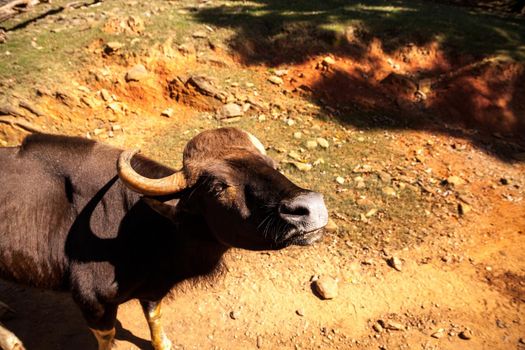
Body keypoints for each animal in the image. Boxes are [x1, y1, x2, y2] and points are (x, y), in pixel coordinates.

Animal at [0, 129, 328, 350]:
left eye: (272, 165)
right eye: (218, 186)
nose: (310, 208)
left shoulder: (154, 288)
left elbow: (154, 317)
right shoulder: (92, 303)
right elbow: (107, 337)